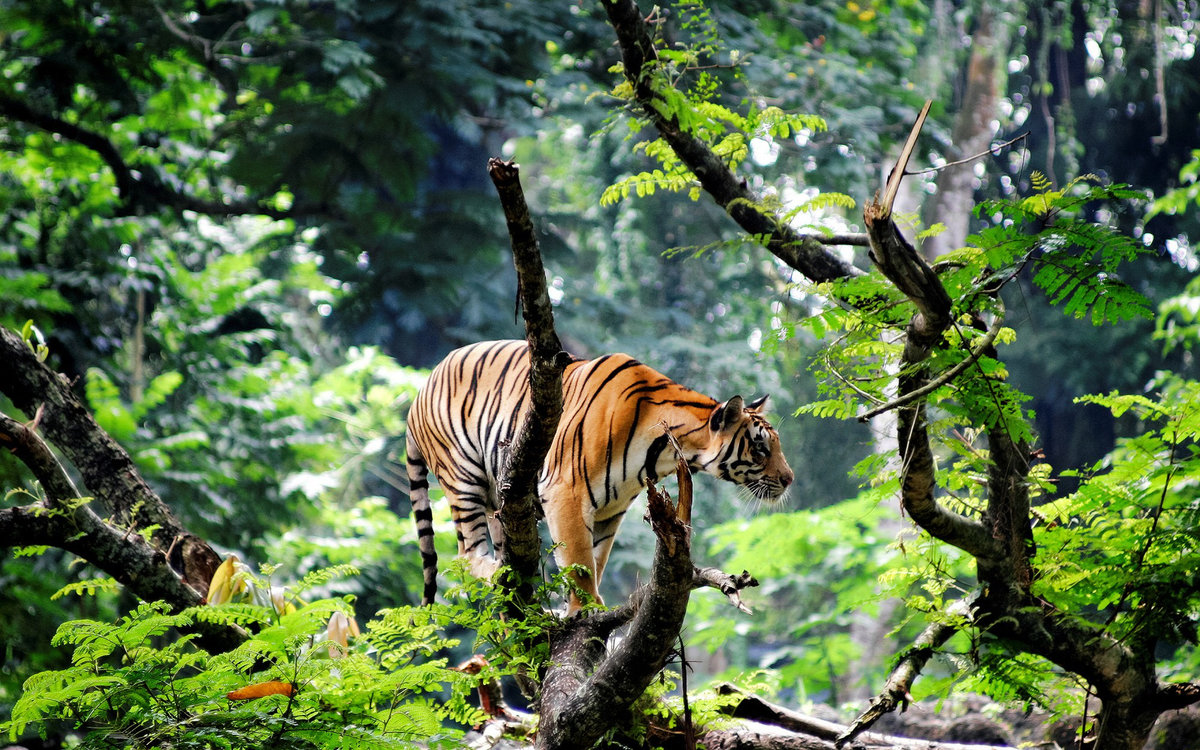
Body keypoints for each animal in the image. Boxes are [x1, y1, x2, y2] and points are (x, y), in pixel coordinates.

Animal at [404, 339, 793, 610]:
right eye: (761, 448)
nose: (790, 479)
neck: (665, 452)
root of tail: (419, 391)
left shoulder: (611, 509)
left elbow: (596, 558)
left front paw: (576, 607)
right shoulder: (566, 491)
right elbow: (578, 560)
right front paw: (584, 609)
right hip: (463, 478)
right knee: (465, 555)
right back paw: (501, 574)